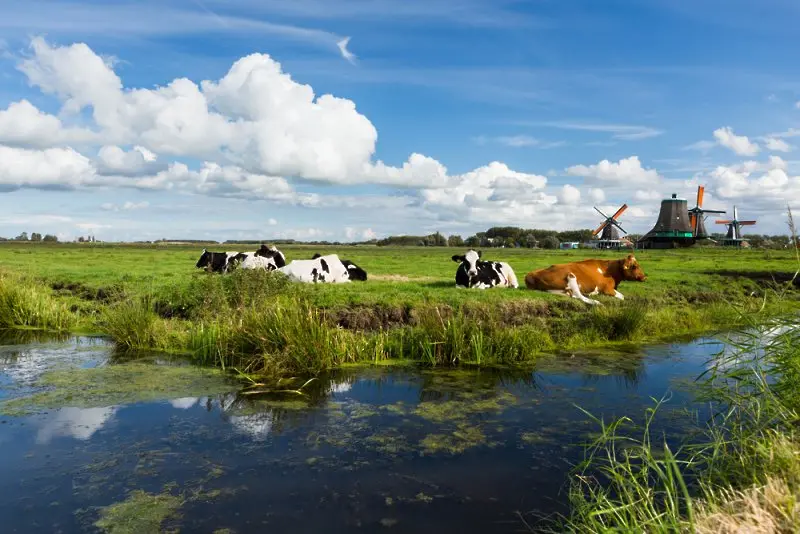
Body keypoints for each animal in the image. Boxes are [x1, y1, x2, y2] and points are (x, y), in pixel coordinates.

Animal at [520, 255, 648, 306]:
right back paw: (596, 302)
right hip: (571, 276)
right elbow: (622, 297)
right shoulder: (607, 289)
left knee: (573, 295)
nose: (644, 277)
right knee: (579, 296)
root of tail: (532, 274)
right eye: (634, 266)